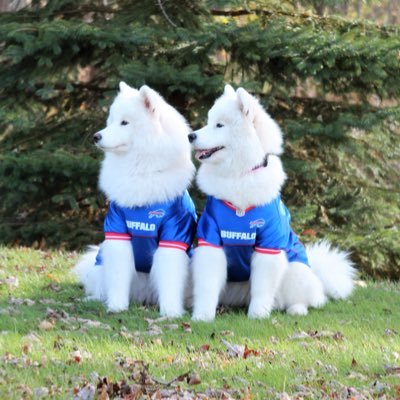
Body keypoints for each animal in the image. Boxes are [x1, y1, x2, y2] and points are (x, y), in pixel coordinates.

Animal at [73, 83, 197, 318]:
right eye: (111, 121)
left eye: (125, 122)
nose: (96, 136)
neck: (139, 171)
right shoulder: (118, 233)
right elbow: (118, 278)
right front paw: (116, 307)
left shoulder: (173, 235)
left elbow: (169, 279)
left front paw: (171, 312)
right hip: (102, 263)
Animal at [188, 85, 356, 322]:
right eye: (208, 121)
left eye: (219, 125)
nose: (190, 135)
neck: (239, 175)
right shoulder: (211, 238)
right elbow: (207, 285)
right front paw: (202, 315)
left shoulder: (269, 245)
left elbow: (262, 287)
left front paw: (258, 314)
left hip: (295, 270)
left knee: (303, 299)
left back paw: (296, 309)